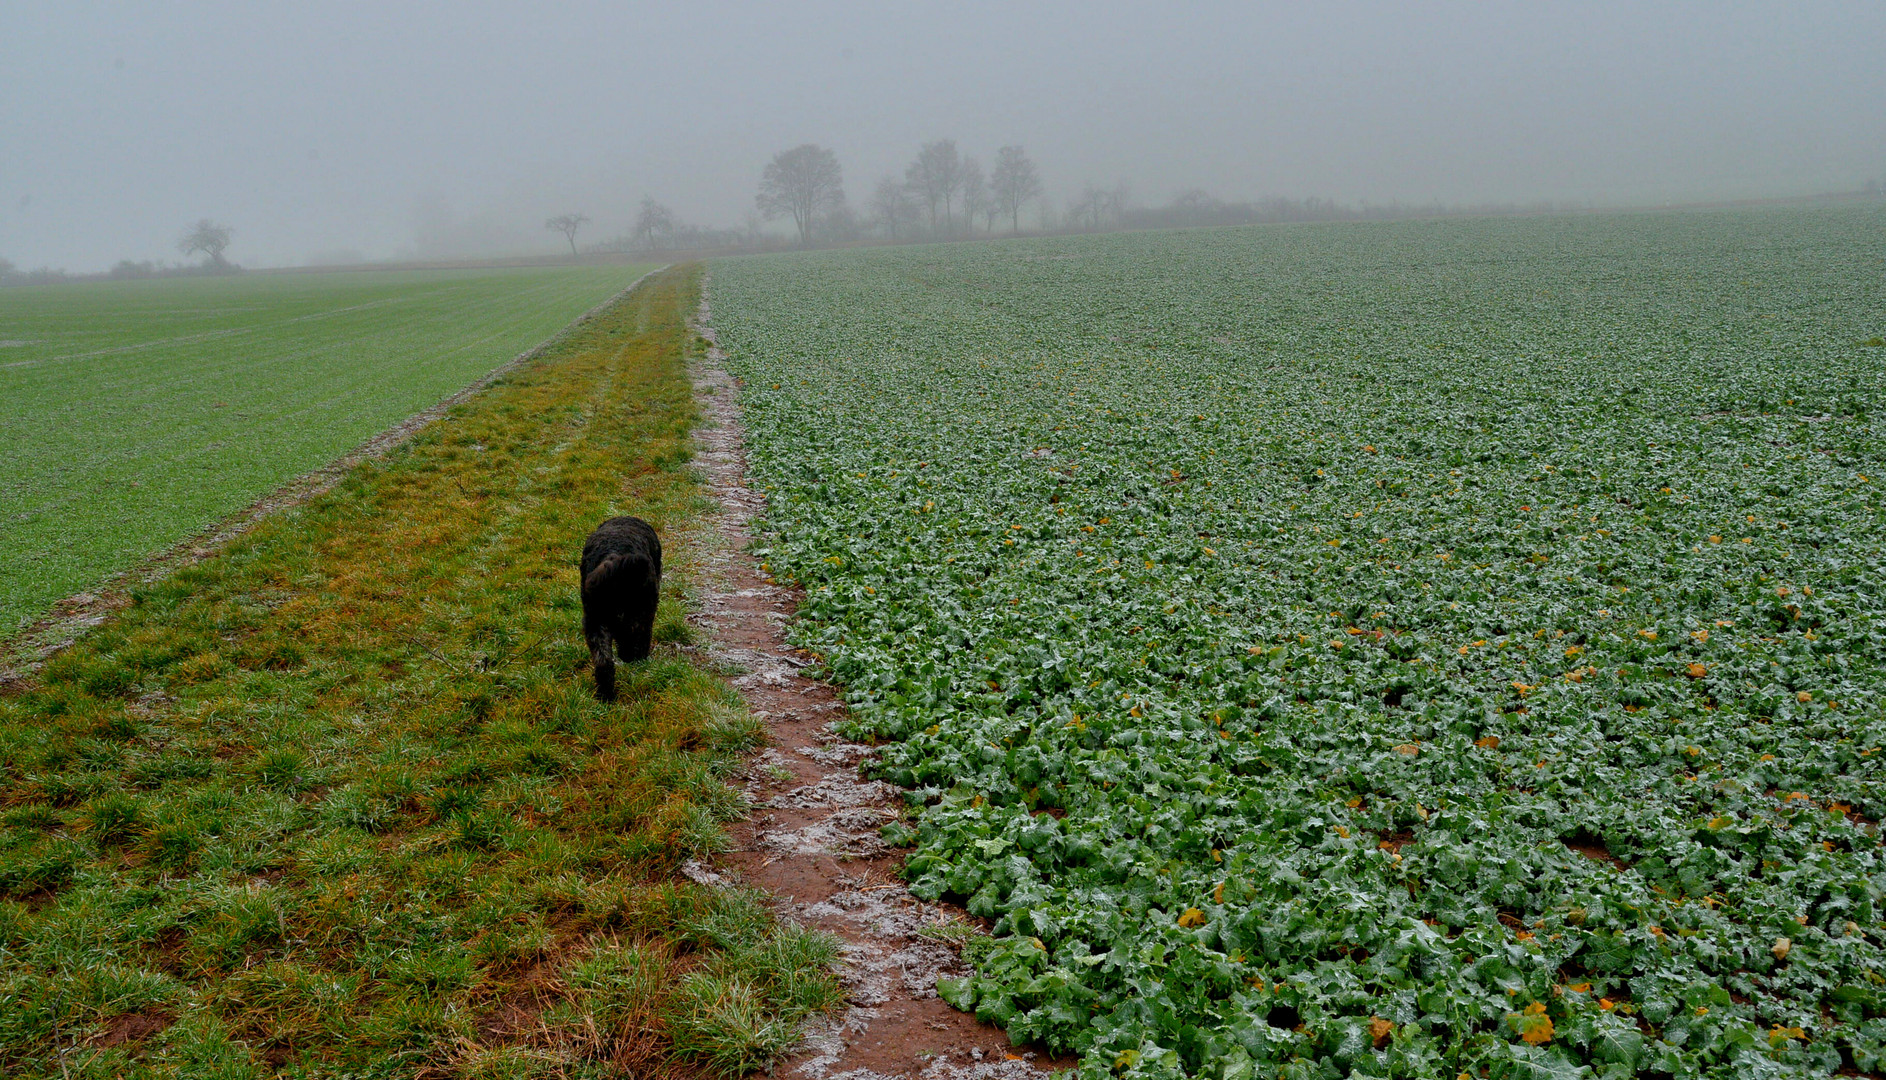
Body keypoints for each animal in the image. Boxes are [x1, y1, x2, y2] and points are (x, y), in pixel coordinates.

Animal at [580, 516, 663, 704]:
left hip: (595, 622)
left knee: (604, 663)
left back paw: (605, 696)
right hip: (639, 616)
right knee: (635, 642)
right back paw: (636, 660)